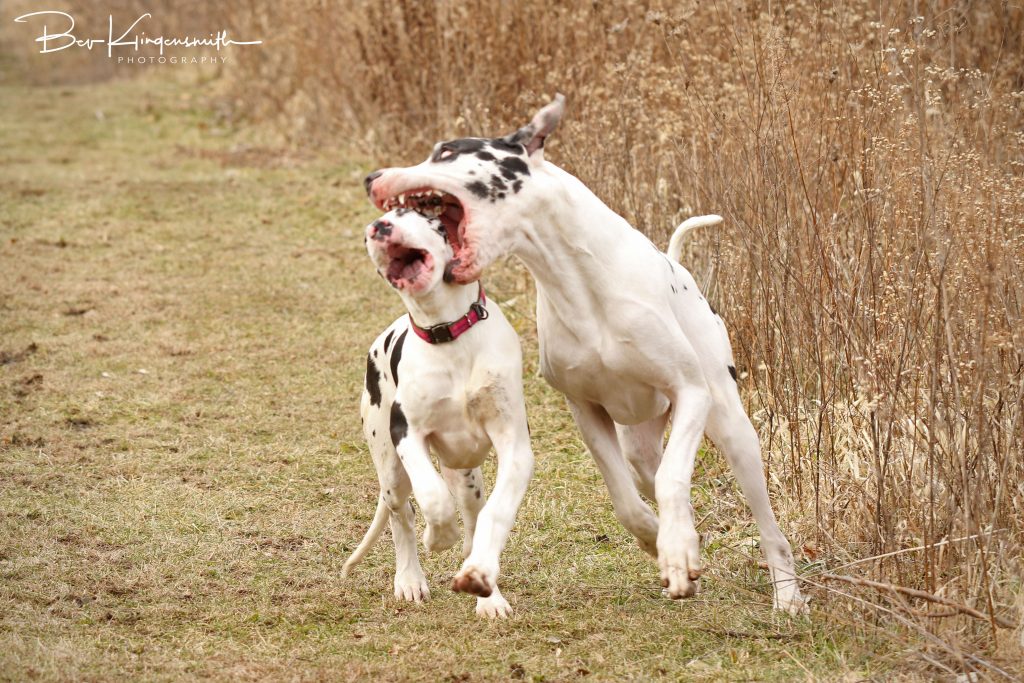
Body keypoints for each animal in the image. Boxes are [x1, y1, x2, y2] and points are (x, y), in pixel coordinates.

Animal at [344, 205, 536, 618]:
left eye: (420, 217)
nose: (379, 226)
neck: (448, 331)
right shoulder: (406, 432)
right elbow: (432, 497)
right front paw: (438, 536)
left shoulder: (514, 442)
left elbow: (495, 514)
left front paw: (486, 588)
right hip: (390, 467)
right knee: (402, 515)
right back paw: (410, 579)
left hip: (468, 477)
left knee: (473, 520)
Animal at [366, 94, 806, 614]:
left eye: (447, 151)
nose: (372, 177)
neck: (576, 278)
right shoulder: (586, 410)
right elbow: (627, 503)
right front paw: (659, 541)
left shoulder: (691, 391)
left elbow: (674, 480)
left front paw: (677, 550)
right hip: (639, 447)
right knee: (650, 478)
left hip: (732, 428)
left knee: (758, 518)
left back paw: (786, 593)